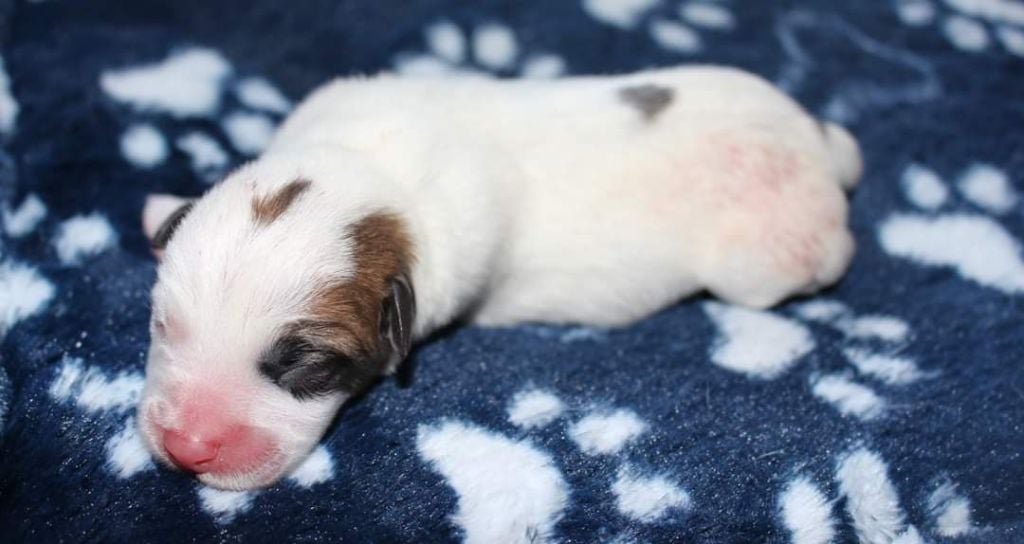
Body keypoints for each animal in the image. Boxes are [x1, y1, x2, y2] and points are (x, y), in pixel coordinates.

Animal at [136, 66, 864, 491]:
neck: (365, 163)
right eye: (163, 325)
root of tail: (818, 141)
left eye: (307, 365)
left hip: (769, 257)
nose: (186, 449)